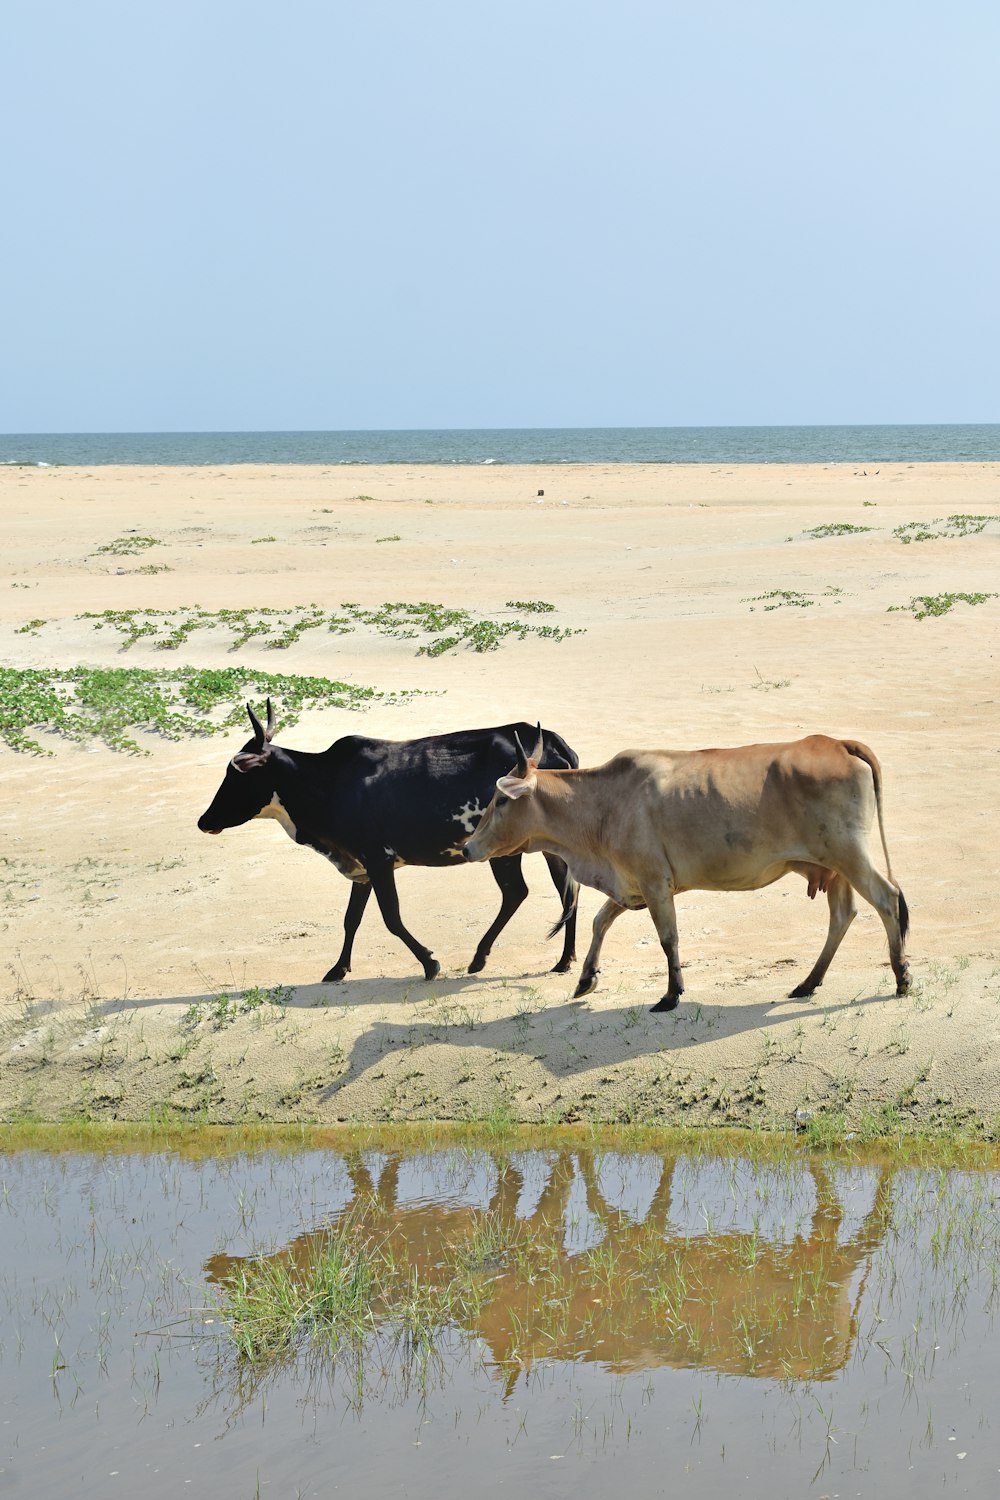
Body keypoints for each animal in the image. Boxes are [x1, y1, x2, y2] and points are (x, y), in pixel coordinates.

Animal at [197, 702, 578, 984]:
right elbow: (351, 919)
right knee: (567, 891)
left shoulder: (378, 860)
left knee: (517, 892)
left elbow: (391, 918)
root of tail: (552, 742)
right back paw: (564, 959)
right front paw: (338, 968)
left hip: (504, 850)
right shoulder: (362, 865)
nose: (204, 821)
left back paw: (480, 957)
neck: (325, 782)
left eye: (235, 775)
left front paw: (429, 963)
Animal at [464, 732, 911, 1014]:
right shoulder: (632, 884)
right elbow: (598, 921)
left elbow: (667, 939)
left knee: (887, 898)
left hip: (849, 854)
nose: (468, 847)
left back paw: (901, 977)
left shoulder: (654, 883)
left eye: (500, 801)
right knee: (842, 916)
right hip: (833, 867)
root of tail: (835, 743)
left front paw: (671, 994)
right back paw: (808, 982)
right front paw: (586, 978)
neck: (602, 805)